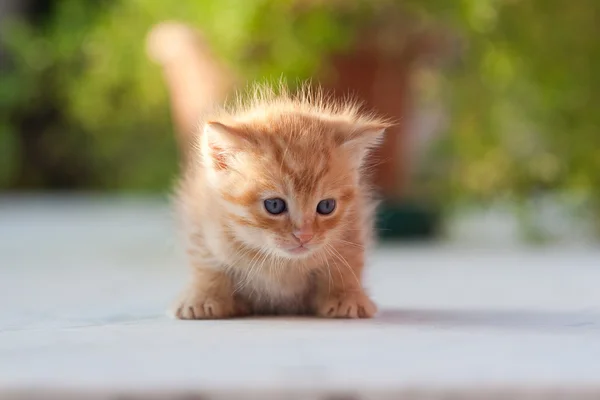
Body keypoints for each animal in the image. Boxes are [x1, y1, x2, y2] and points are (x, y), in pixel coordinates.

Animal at [172, 83, 390, 318]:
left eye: (326, 206)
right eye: (274, 205)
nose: (304, 236)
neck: (279, 262)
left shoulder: (353, 224)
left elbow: (348, 262)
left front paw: (346, 297)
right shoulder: (202, 222)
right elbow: (207, 263)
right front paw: (203, 298)